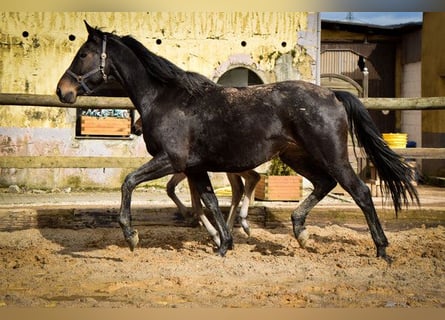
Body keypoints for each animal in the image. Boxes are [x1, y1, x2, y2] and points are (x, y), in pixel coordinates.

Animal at [55, 22, 416, 262]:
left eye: (84, 54)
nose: (63, 91)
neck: (165, 98)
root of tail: (334, 94)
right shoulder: (194, 168)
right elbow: (211, 202)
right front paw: (223, 244)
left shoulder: (172, 161)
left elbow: (129, 182)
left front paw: (131, 237)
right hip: (297, 156)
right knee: (323, 184)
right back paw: (300, 232)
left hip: (331, 154)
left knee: (360, 191)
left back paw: (382, 249)